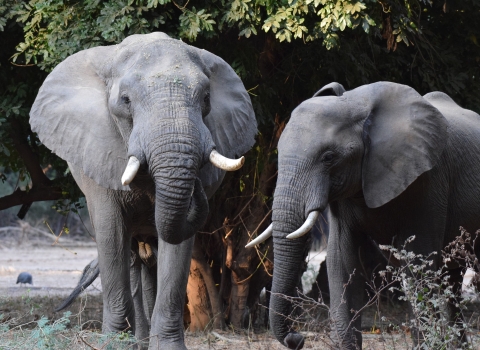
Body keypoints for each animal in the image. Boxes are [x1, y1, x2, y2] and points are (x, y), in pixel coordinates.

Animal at [29, 31, 258, 348]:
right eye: (125, 101)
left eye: (206, 98)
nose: (199, 185)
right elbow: (111, 233)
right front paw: (113, 343)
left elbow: (177, 247)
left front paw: (168, 346)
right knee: (132, 259)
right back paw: (134, 340)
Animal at [249, 82, 480, 350]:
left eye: (329, 157)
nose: (297, 338)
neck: (356, 103)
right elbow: (342, 260)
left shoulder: (428, 180)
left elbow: (418, 265)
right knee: (452, 279)